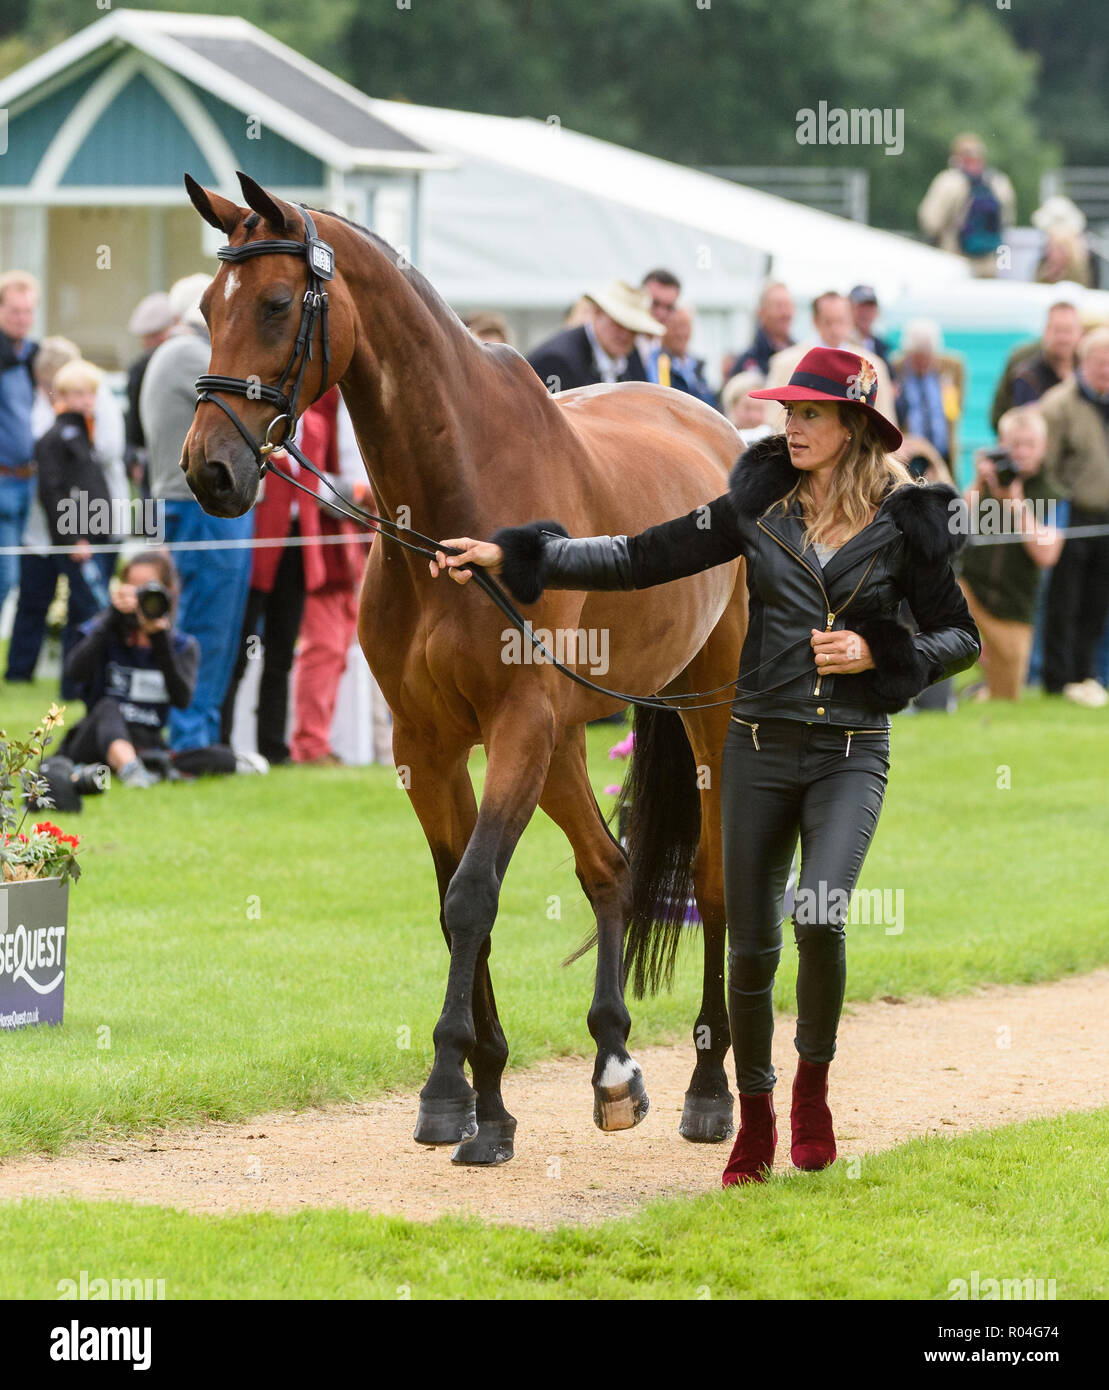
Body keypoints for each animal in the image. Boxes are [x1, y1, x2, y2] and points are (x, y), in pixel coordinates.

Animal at [182, 176, 750, 1173]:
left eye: (278, 304)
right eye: (208, 309)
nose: (208, 469)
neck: (455, 506)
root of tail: (713, 420)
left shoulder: (516, 724)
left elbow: (474, 893)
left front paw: (445, 1088)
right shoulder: (430, 744)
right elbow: (455, 903)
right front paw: (486, 1106)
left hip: (697, 711)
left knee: (711, 884)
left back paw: (709, 1091)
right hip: (569, 739)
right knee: (607, 868)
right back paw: (613, 1067)